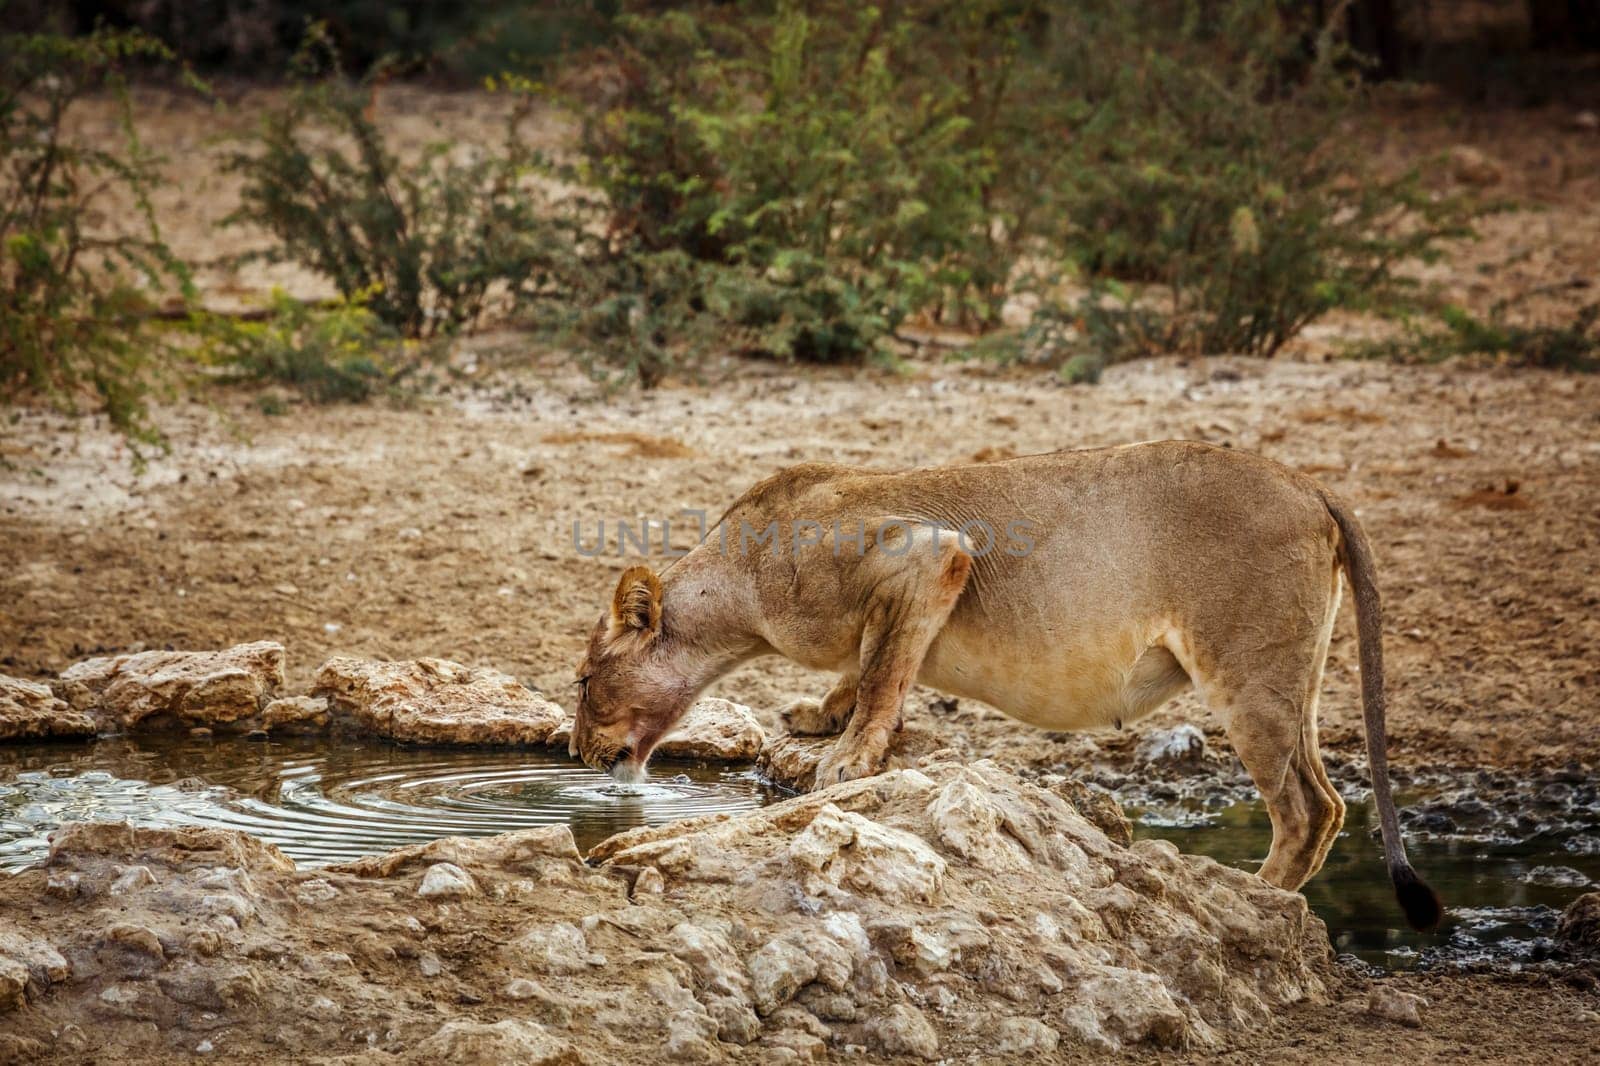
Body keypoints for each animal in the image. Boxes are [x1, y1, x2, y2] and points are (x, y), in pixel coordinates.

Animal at [569, 435, 1446, 928]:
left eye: (581, 682)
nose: (577, 755)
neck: (736, 589)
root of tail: (1309, 482)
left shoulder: (926, 553)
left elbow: (882, 670)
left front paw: (848, 758)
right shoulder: (906, 589)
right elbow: (873, 664)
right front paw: (821, 717)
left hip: (1249, 671)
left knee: (1307, 808)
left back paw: (1248, 895)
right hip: (1295, 678)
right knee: (1328, 799)